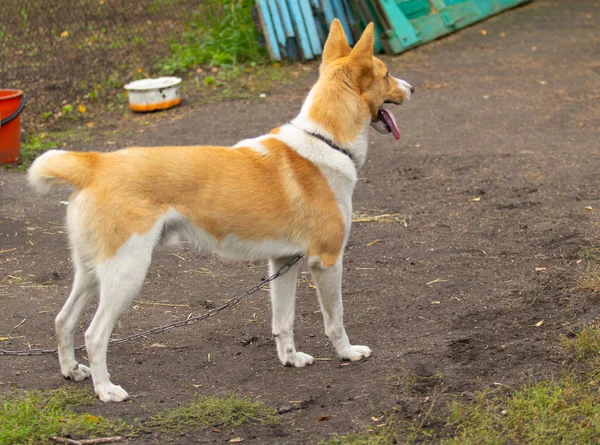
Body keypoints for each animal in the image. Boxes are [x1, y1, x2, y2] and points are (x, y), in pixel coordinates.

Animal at [27, 20, 412, 402]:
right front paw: (348, 353)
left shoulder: (284, 261)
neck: (325, 140)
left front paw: (291, 359)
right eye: (387, 73)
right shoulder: (327, 261)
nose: (411, 87)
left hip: (92, 273)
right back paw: (106, 390)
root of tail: (95, 164)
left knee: (63, 320)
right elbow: (336, 319)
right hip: (126, 273)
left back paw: (72, 370)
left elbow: (283, 321)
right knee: (94, 334)